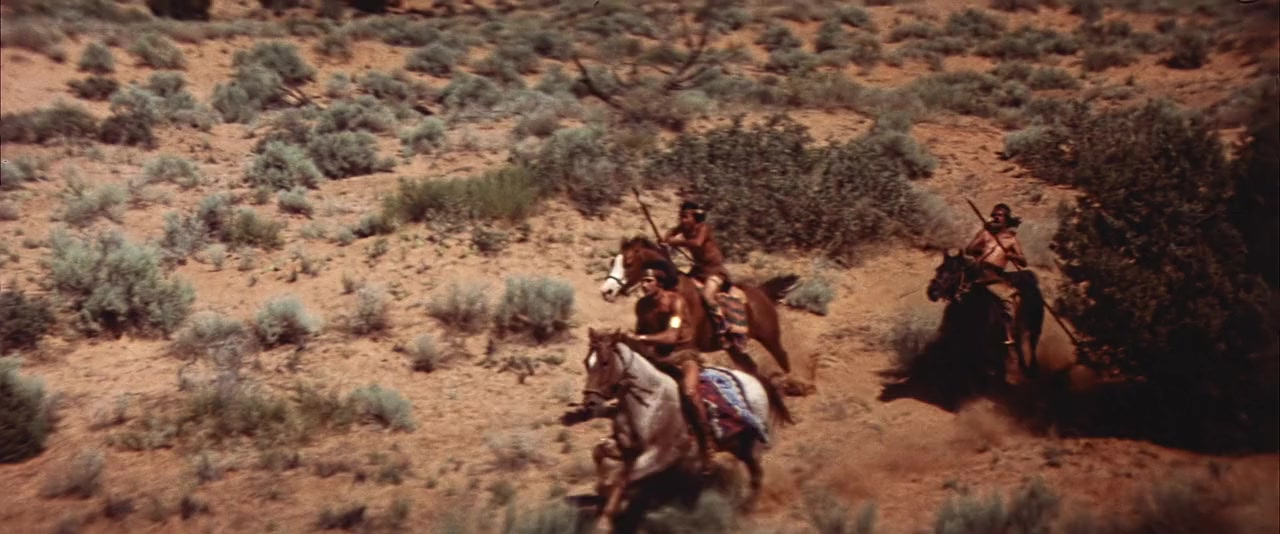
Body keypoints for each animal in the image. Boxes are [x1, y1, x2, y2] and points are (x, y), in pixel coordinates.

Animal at [581, 329, 773, 531]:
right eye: (587, 362)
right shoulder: (626, 448)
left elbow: (622, 478)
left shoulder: (660, 456)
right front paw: (602, 491)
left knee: (757, 475)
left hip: (751, 447)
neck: (650, 399)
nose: (589, 403)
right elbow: (599, 452)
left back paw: (747, 511)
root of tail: (756, 382)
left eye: (605, 362)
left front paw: (605, 521)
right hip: (736, 445)